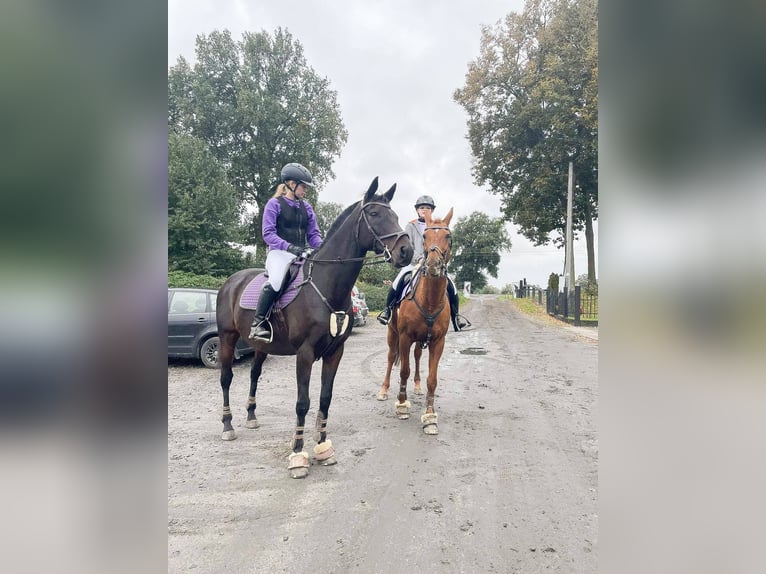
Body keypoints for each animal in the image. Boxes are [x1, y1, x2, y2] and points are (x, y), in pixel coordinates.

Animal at [215, 177, 413, 478]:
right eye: (374, 214)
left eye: (396, 216)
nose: (407, 251)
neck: (326, 285)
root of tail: (231, 282)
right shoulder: (305, 354)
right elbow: (303, 402)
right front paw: (298, 454)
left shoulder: (335, 352)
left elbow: (325, 398)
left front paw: (322, 447)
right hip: (227, 338)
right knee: (226, 378)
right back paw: (228, 425)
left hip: (261, 346)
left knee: (254, 375)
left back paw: (251, 416)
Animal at [377, 208, 454, 435]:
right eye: (425, 236)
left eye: (448, 237)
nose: (433, 265)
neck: (429, 300)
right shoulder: (404, 337)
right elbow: (404, 371)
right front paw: (402, 405)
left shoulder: (438, 342)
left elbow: (432, 379)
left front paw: (430, 416)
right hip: (393, 335)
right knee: (390, 358)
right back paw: (384, 390)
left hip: (420, 341)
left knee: (418, 357)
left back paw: (418, 387)